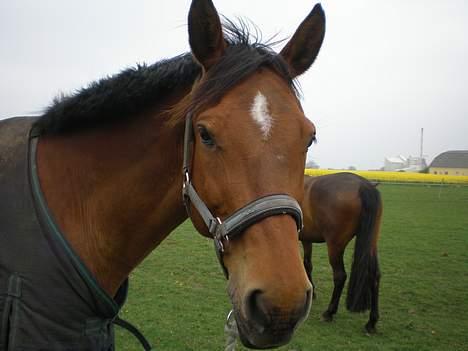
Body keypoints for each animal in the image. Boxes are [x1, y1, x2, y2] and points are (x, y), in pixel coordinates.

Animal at [302, 175, 382, 334]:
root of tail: (363, 184)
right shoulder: (306, 239)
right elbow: (308, 264)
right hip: (371, 243)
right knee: (374, 275)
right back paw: (371, 322)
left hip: (335, 246)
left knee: (340, 276)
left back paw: (329, 313)